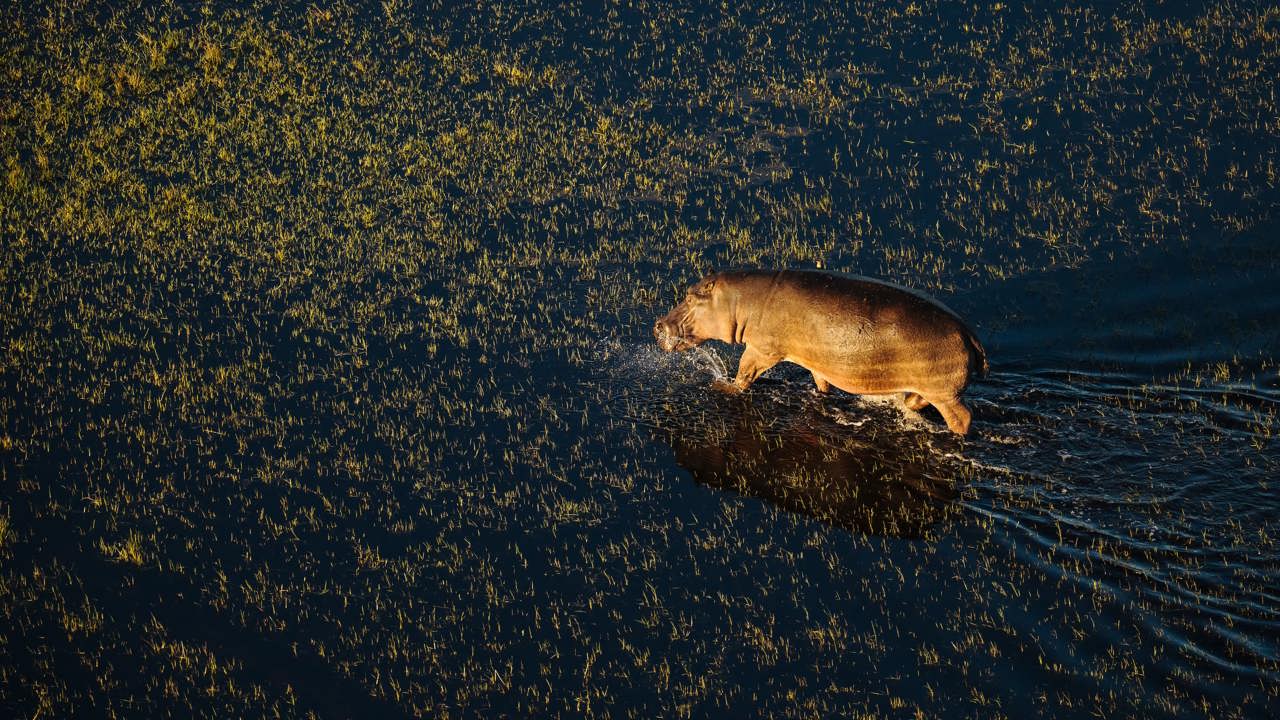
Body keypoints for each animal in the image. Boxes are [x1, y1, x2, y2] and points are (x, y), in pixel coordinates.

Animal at [654, 269, 988, 435]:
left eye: (689, 296)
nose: (657, 325)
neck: (737, 300)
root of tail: (969, 333)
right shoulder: (817, 360)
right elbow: (821, 382)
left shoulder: (762, 348)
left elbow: (744, 373)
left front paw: (721, 386)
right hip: (930, 387)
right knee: (918, 400)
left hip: (945, 393)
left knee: (963, 417)